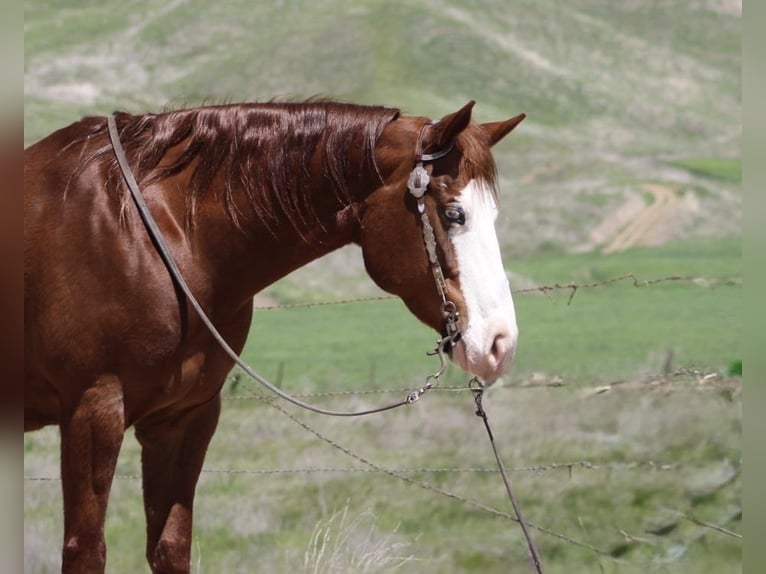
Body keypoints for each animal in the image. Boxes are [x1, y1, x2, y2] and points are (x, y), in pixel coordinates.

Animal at [24, 99, 525, 573]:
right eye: (454, 213)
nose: (500, 343)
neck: (155, 236)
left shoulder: (185, 419)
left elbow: (170, 547)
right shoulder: (93, 411)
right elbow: (86, 553)